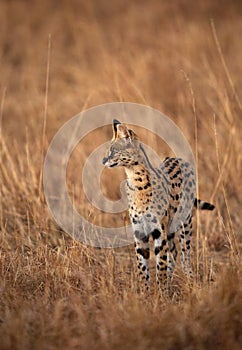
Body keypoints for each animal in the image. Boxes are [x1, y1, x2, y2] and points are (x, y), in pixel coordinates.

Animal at [101, 120, 214, 292]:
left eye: (113, 151)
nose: (103, 160)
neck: (135, 180)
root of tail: (177, 158)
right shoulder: (139, 231)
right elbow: (142, 267)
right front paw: (145, 293)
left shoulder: (159, 231)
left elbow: (160, 264)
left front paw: (161, 293)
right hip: (171, 228)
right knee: (174, 253)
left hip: (184, 223)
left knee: (184, 254)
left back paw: (189, 281)